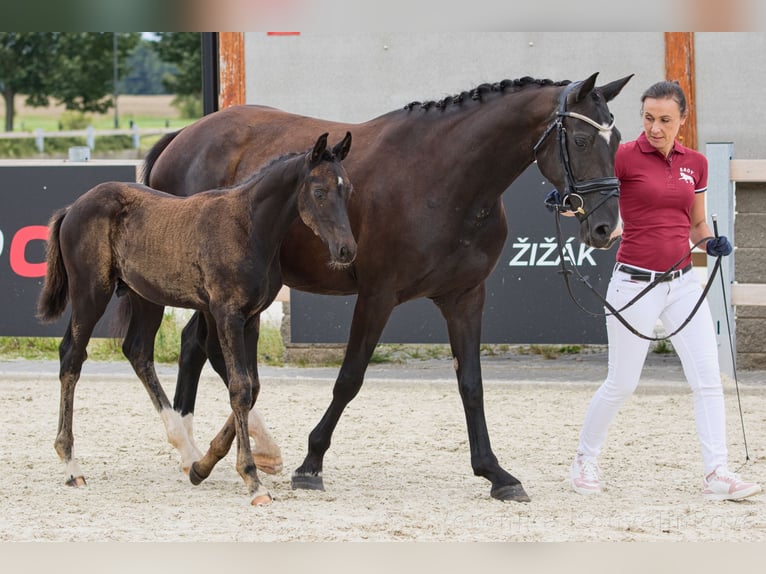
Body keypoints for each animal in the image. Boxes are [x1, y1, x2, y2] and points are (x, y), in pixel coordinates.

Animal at [36, 133, 356, 506]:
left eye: (347, 189)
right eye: (319, 191)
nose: (346, 250)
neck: (248, 227)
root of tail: (73, 207)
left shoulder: (251, 318)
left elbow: (252, 387)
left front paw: (204, 467)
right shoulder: (227, 315)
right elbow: (240, 388)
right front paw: (253, 480)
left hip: (145, 297)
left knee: (136, 351)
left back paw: (188, 454)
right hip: (91, 294)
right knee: (72, 358)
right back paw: (71, 465)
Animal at [147, 73, 632, 504]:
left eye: (617, 140)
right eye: (582, 141)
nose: (607, 228)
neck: (444, 178)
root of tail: (183, 136)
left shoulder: (465, 298)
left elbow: (471, 385)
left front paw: (495, 473)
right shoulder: (377, 296)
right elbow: (349, 379)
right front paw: (311, 465)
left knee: (196, 345)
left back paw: (208, 449)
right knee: (208, 352)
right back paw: (208, 448)